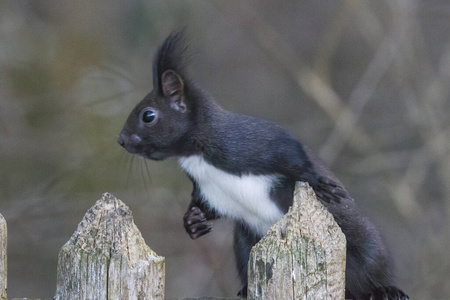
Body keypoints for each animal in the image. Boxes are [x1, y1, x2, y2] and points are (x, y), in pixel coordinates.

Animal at [118, 31, 410, 300]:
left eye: (148, 115)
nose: (121, 140)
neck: (196, 153)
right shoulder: (209, 190)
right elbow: (206, 207)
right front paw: (193, 222)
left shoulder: (256, 142)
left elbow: (295, 158)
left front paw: (319, 183)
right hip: (243, 244)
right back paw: (246, 290)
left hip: (365, 244)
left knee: (371, 271)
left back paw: (385, 290)